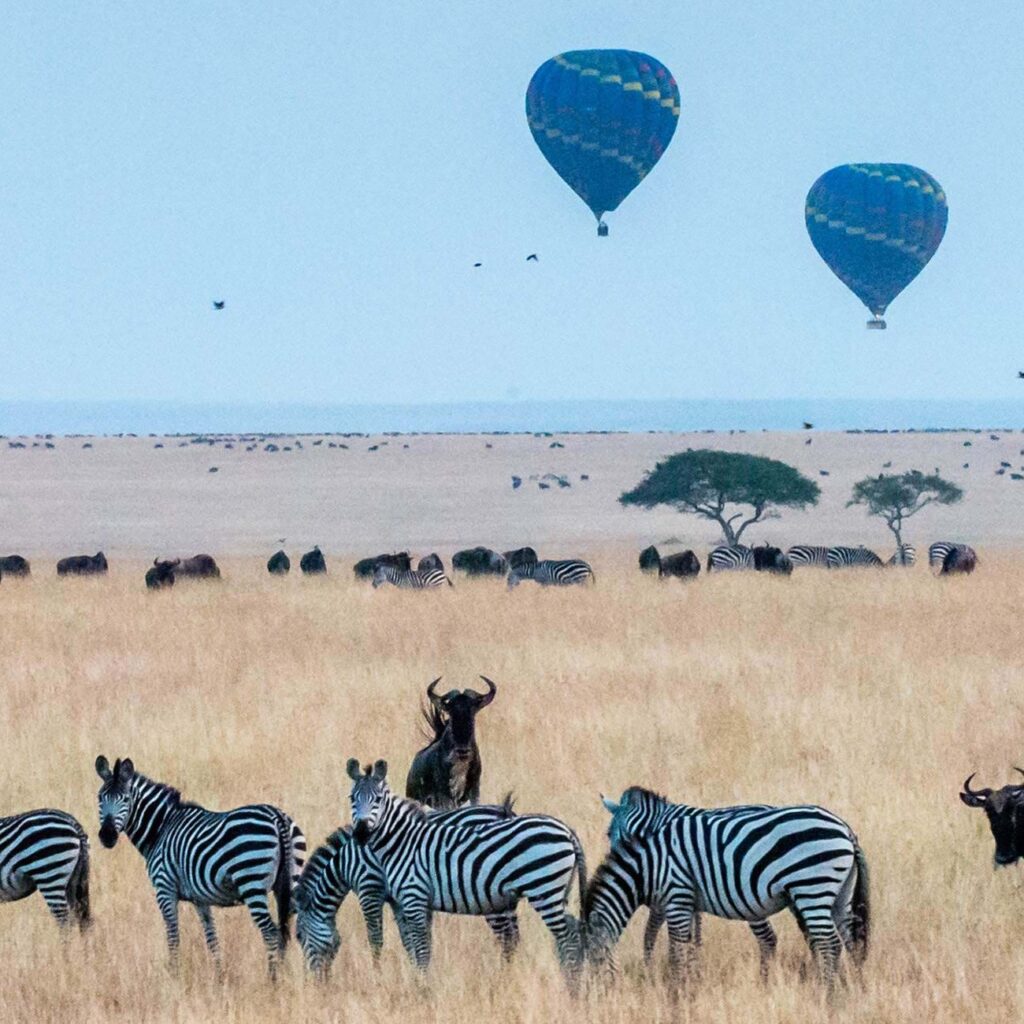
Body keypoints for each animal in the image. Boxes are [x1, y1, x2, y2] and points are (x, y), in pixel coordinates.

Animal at [95, 757, 303, 978]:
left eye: (125, 799)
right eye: (100, 798)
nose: (107, 836)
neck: (161, 828)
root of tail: (277, 817)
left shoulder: (164, 889)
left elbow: (173, 935)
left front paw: (174, 974)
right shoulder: (200, 898)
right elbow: (212, 937)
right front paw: (219, 975)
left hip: (251, 882)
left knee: (271, 932)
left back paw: (272, 979)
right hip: (291, 882)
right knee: (290, 929)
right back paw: (286, 974)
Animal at [294, 798, 520, 974]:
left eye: (299, 937)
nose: (315, 983)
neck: (346, 861)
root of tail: (504, 811)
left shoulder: (370, 888)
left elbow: (375, 938)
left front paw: (377, 974)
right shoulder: (398, 898)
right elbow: (409, 940)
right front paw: (416, 972)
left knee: (507, 938)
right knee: (514, 936)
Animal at [346, 765, 585, 987]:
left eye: (378, 799)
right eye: (352, 799)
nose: (361, 833)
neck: (402, 841)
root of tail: (567, 831)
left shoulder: (397, 894)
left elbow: (401, 943)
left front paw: (414, 983)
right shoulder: (409, 901)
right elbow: (417, 944)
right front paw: (417, 978)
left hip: (543, 889)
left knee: (566, 938)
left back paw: (570, 982)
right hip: (549, 892)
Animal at [589, 794, 868, 987]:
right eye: (608, 834)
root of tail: (845, 830)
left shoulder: (674, 891)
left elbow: (660, 936)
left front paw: (670, 976)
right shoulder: (684, 895)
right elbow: (688, 936)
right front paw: (688, 973)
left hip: (808, 887)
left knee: (818, 941)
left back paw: (824, 989)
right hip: (835, 895)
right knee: (848, 939)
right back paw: (853, 985)